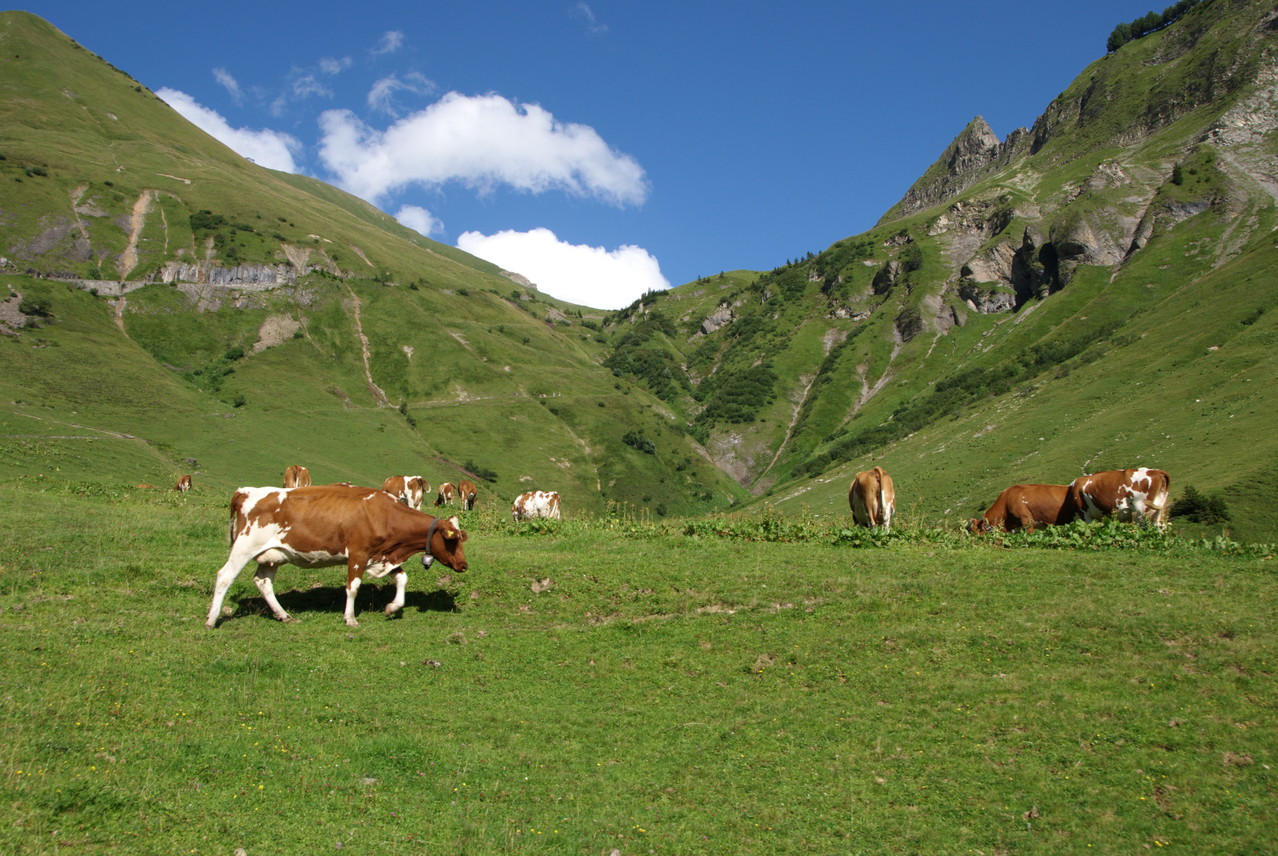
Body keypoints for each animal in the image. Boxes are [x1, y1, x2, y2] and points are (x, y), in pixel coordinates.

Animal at [204, 482, 470, 631]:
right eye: (452, 540)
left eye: (461, 538)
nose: (464, 565)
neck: (385, 515)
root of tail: (246, 491)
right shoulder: (358, 553)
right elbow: (352, 587)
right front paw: (350, 618)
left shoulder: (382, 556)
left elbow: (402, 579)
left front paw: (392, 607)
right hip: (245, 546)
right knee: (224, 576)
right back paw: (211, 619)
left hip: (272, 555)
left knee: (263, 582)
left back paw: (284, 616)